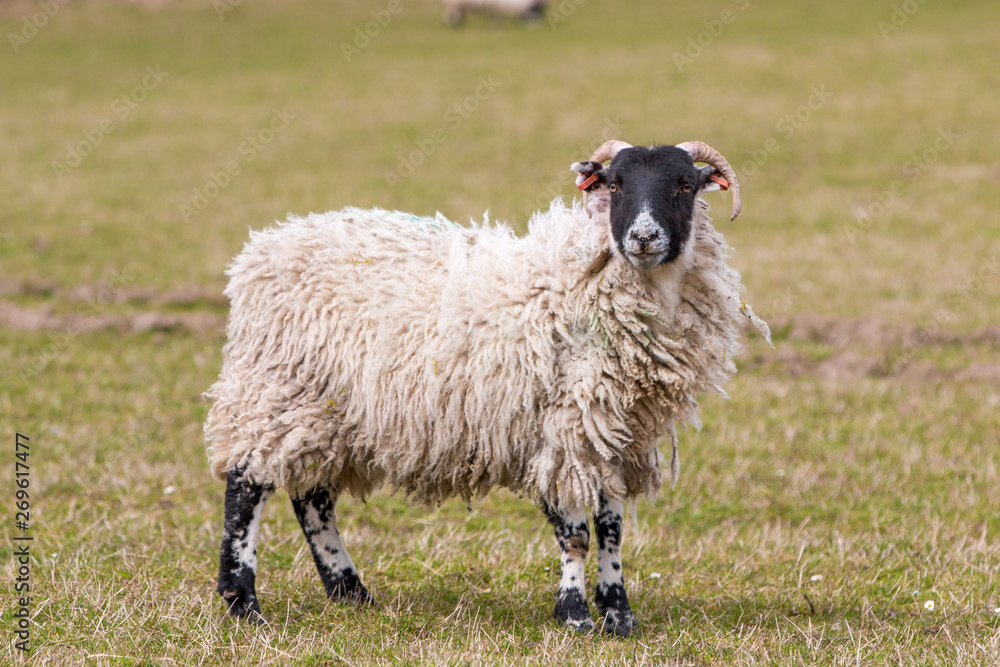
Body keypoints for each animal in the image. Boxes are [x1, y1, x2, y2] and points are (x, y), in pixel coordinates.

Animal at [205, 139, 770, 637]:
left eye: (684, 184)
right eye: (615, 185)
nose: (644, 238)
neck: (581, 282)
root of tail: (265, 245)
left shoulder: (611, 432)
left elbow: (610, 529)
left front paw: (619, 615)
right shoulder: (559, 431)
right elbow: (575, 533)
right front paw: (575, 616)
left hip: (326, 409)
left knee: (312, 497)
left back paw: (350, 591)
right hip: (276, 388)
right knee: (246, 486)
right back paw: (243, 602)